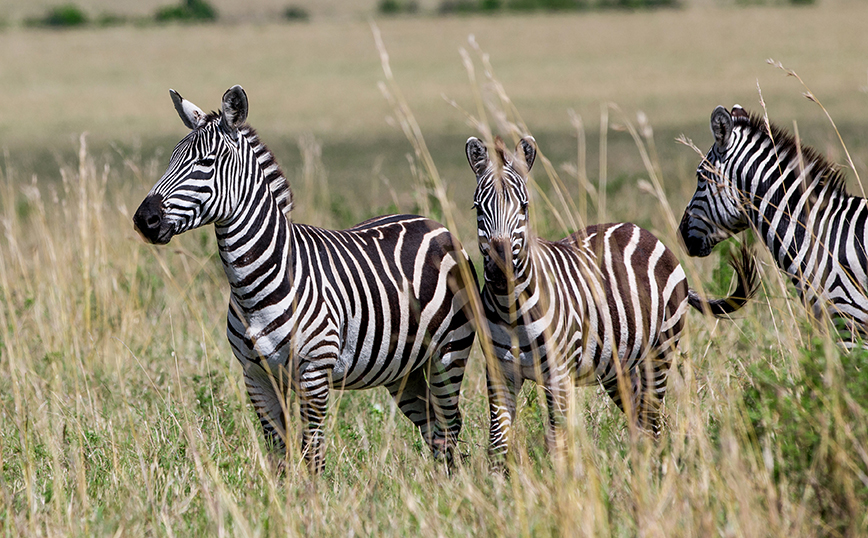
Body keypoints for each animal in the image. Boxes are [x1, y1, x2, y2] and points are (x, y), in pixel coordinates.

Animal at [132, 86, 478, 472]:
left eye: (206, 163)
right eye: (171, 159)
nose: (144, 219)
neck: (253, 286)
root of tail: (432, 223)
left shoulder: (313, 373)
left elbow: (312, 453)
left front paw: (316, 491)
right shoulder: (256, 376)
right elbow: (278, 454)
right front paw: (281, 490)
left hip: (449, 354)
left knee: (449, 426)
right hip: (405, 371)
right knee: (435, 431)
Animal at [464, 136, 756, 458]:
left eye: (524, 207)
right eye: (477, 208)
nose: (500, 269)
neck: (511, 309)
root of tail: (642, 231)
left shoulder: (558, 375)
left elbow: (557, 444)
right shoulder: (499, 373)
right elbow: (497, 445)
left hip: (661, 350)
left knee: (653, 422)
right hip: (619, 367)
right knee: (641, 421)